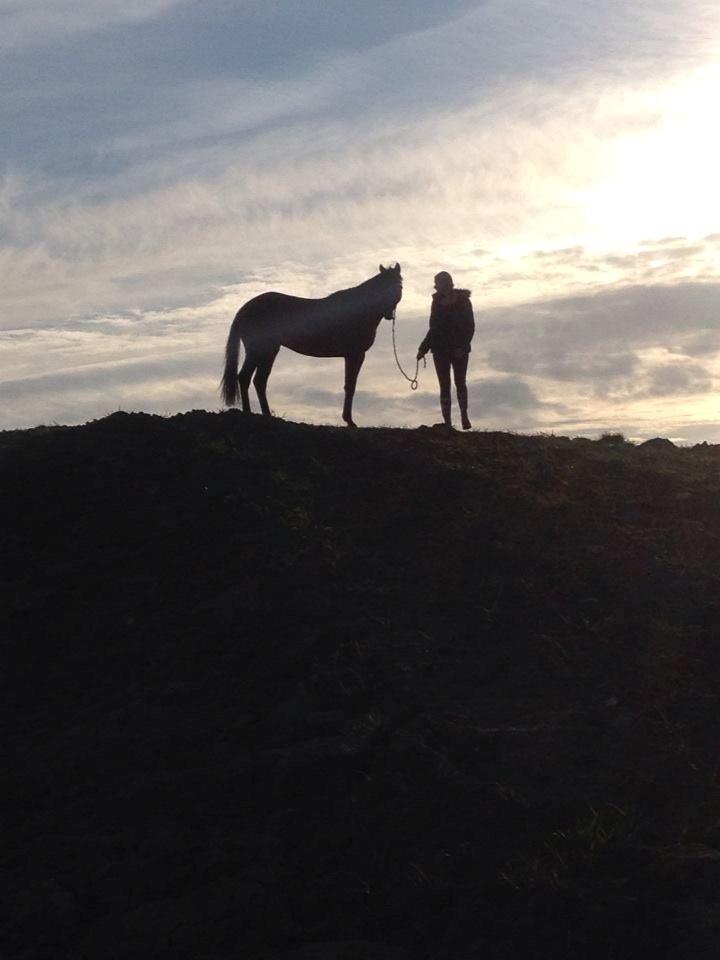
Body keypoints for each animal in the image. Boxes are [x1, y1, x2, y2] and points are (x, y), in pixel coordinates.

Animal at [219, 264, 402, 426]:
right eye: (383, 286)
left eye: (399, 284)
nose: (389, 314)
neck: (359, 310)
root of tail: (245, 308)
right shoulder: (355, 354)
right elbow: (350, 386)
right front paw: (349, 421)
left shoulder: (353, 355)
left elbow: (349, 385)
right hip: (260, 350)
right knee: (247, 378)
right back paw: (250, 413)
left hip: (267, 351)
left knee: (257, 380)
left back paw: (264, 414)